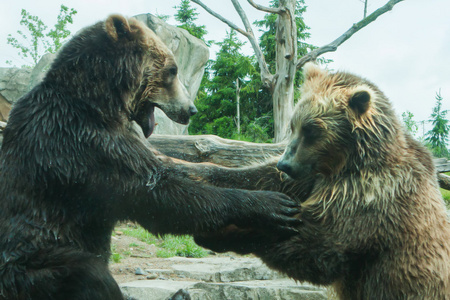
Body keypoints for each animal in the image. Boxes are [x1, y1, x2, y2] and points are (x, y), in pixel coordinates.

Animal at [188, 62, 450, 298]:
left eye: (312, 129)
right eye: (293, 124)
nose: (285, 165)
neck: (347, 163)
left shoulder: (372, 195)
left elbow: (319, 245)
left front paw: (222, 232)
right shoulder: (313, 176)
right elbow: (261, 178)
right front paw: (197, 171)